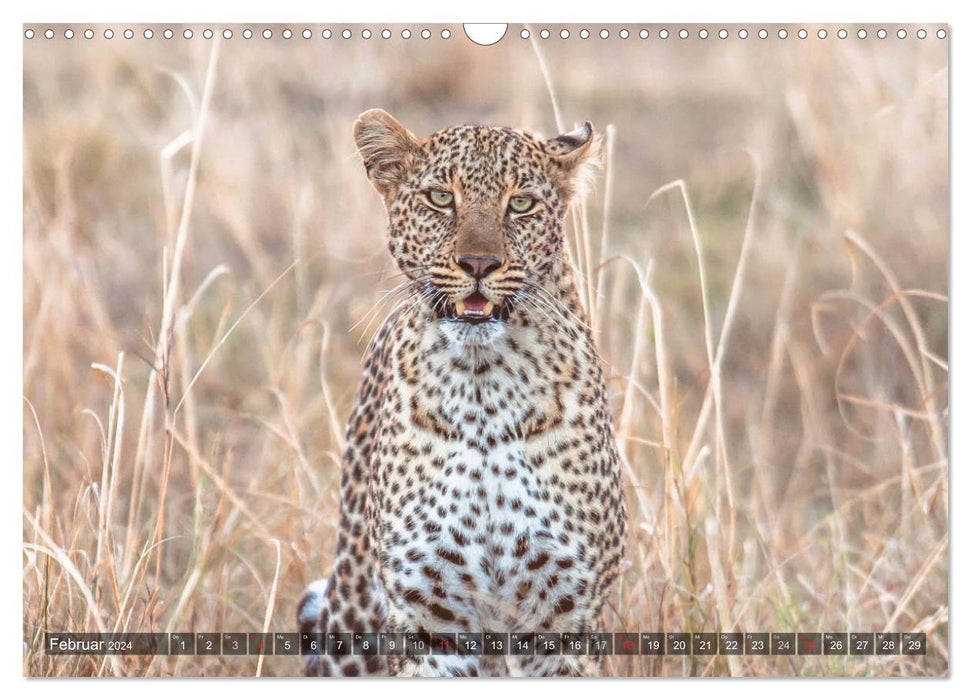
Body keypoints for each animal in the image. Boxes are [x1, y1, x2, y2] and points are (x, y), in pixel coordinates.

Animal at [298, 110, 632, 680]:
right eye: (440, 198)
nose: (478, 264)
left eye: (520, 203)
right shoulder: (431, 621)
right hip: (353, 614)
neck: (483, 391)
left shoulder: (564, 620)